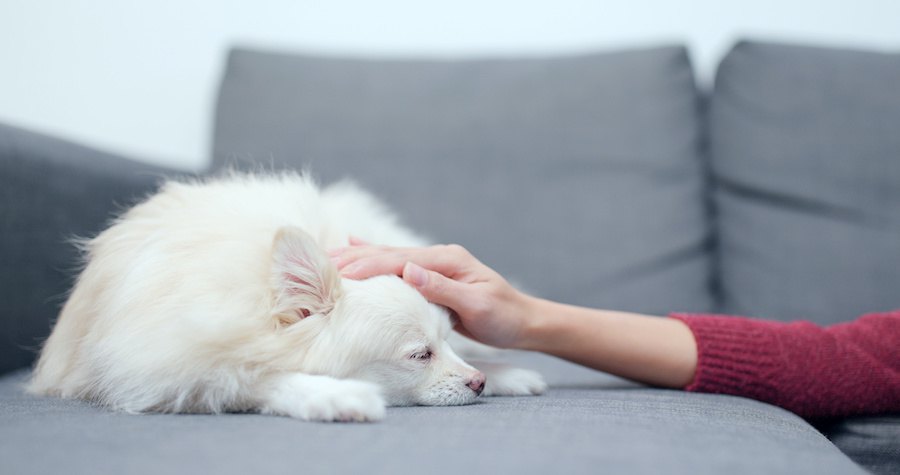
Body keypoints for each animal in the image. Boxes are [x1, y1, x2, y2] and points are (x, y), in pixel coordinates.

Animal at [28, 173, 544, 422]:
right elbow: (261, 377)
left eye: (447, 340)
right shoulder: (172, 366)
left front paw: (503, 373)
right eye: (420, 355)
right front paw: (334, 395)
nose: (477, 382)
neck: (252, 296)